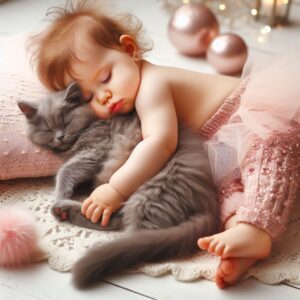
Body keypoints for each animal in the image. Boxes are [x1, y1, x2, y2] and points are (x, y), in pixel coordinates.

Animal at [18, 82, 219, 288]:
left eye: (66, 122)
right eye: (48, 130)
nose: (60, 137)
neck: (93, 122)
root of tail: (210, 207)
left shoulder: (95, 152)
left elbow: (65, 171)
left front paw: (60, 195)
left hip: (151, 191)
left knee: (131, 231)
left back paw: (67, 211)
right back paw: (68, 212)